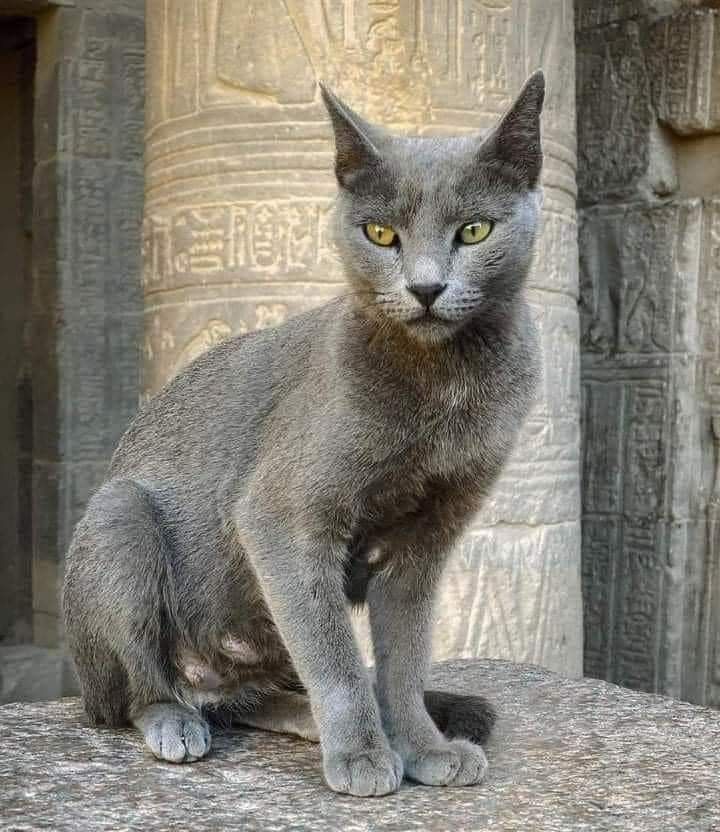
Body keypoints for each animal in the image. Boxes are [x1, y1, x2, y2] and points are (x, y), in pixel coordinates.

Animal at [63, 73, 544, 800]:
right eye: (380, 232)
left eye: (475, 230)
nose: (426, 287)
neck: (445, 389)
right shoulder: (283, 516)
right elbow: (335, 655)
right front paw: (365, 757)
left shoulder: (426, 540)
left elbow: (403, 661)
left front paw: (422, 746)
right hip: (121, 520)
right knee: (137, 694)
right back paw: (178, 722)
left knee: (255, 695)